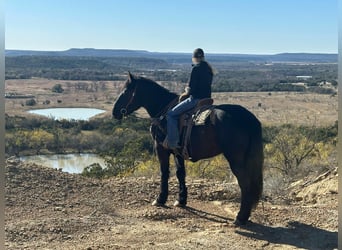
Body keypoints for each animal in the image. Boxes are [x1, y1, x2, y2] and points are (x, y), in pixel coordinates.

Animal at [113, 72, 264, 225]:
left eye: (125, 91)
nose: (115, 112)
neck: (163, 111)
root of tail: (247, 117)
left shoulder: (161, 149)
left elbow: (164, 173)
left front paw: (160, 199)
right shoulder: (178, 152)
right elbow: (180, 173)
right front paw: (181, 200)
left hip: (236, 160)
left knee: (245, 184)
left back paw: (240, 217)